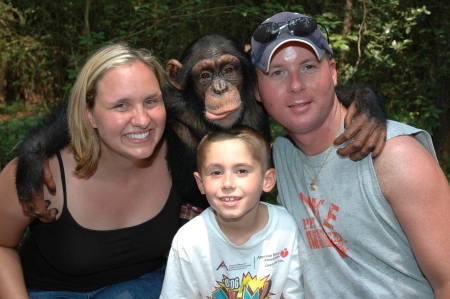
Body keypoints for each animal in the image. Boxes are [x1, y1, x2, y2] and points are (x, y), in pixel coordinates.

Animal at [14, 34, 386, 223]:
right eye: (205, 75)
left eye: (229, 69)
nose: (220, 88)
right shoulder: (167, 99)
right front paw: (31, 163)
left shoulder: (262, 96)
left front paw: (366, 110)